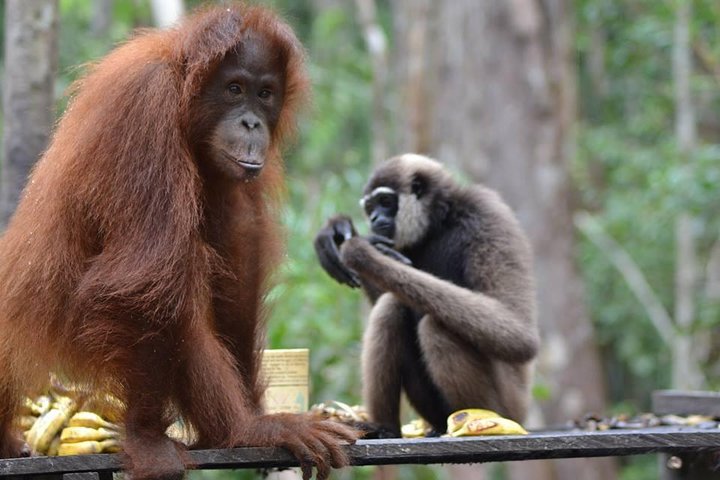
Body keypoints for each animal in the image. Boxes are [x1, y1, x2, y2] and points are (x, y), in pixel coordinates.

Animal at [0, 4, 356, 480]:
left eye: (264, 94)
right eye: (234, 89)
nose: (251, 122)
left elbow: (238, 248)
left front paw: (255, 409)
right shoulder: (145, 108)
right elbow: (141, 280)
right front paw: (148, 440)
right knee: (172, 288)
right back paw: (239, 430)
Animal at [314, 154, 539, 436]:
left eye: (385, 202)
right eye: (370, 207)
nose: (374, 218)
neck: (440, 222)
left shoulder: (487, 212)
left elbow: (519, 333)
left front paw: (362, 252)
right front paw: (338, 232)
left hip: (509, 406)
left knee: (435, 326)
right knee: (391, 307)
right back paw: (385, 428)